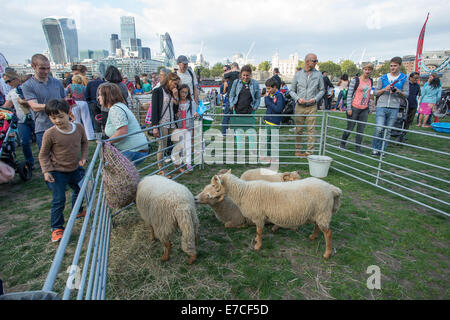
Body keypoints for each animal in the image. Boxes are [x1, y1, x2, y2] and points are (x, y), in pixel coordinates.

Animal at [210, 171, 342, 258]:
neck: (244, 192)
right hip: (318, 212)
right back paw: (313, 237)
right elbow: (258, 231)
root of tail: (331, 188)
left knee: (328, 233)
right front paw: (257, 240)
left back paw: (327, 253)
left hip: (323, 212)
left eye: (213, 185)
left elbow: (259, 231)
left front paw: (258, 246)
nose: (209, 195)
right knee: (317, 226)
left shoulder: (258, 216)